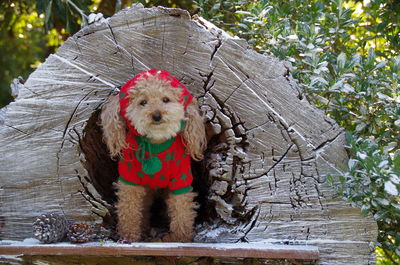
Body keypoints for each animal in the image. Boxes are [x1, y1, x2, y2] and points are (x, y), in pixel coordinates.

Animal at [100, 69, 206, 241]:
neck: (157, 142)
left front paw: (180, 238)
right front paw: (129, 236)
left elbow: (182, 210)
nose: (157, 115)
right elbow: (129, 209)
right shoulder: (129, 178)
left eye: (166, 99)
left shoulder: (181, 179)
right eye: (143, 102)